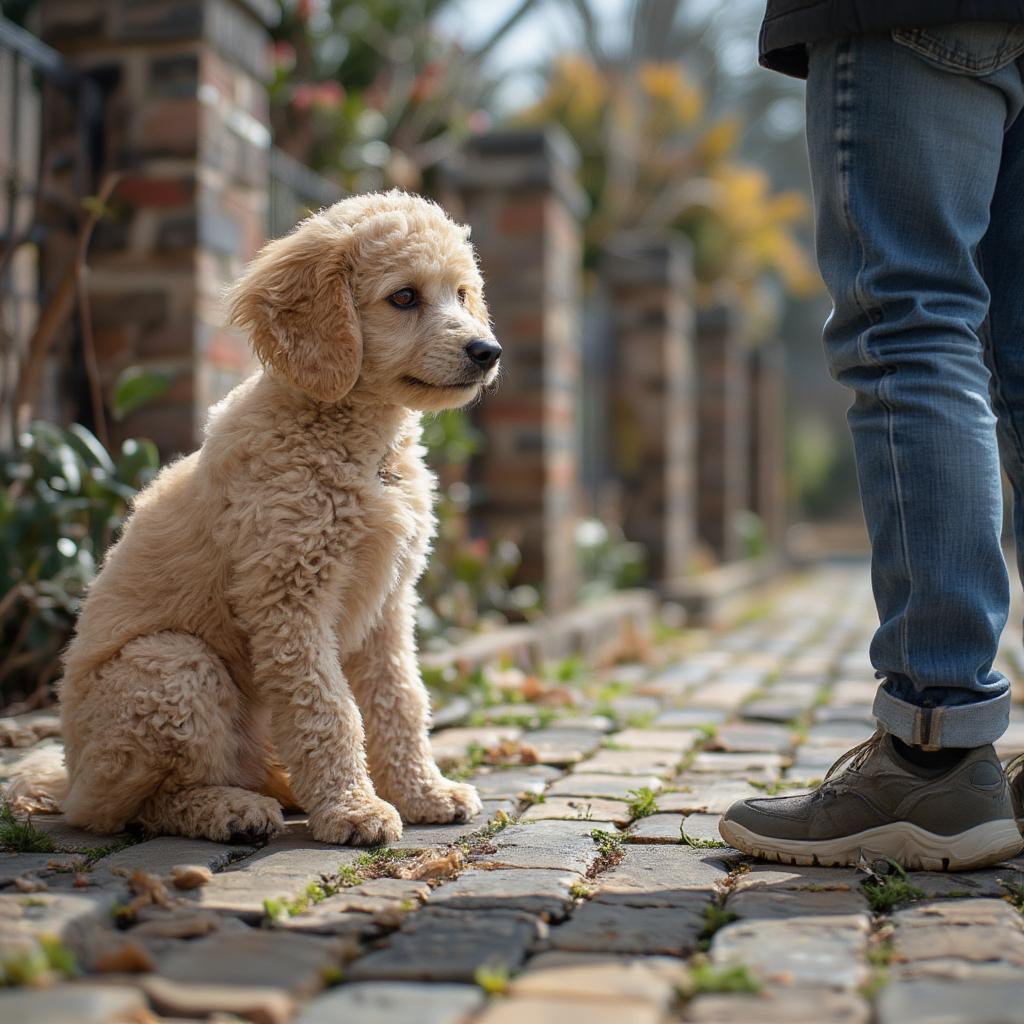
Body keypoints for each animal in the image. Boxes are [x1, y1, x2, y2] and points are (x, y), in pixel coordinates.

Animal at [9, 192, 497, 847]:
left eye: (462, 294)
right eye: (403, 297)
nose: (487, 352)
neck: (360, 450)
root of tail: (68, 776)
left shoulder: (389, 605)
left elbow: (399, 700)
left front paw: (422, 792)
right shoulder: (290, 599)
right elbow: (328, 708)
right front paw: (353, 810)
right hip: (170, 666)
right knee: (128, 809)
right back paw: (228, 810)